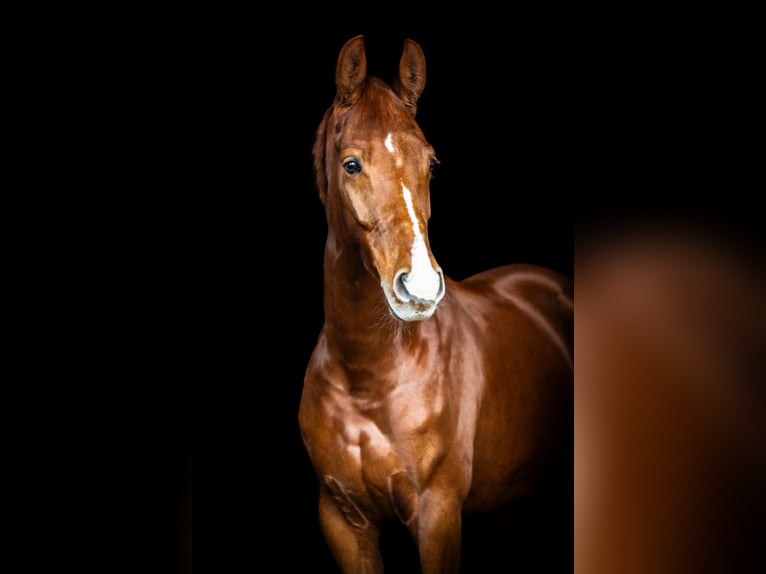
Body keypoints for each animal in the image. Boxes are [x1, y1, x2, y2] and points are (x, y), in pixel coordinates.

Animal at [299, 35, 573, 574]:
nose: (420, 287)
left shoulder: (438, 515)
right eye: (351, 164)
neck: (369, 379)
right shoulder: (343, 521)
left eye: (430, 164)